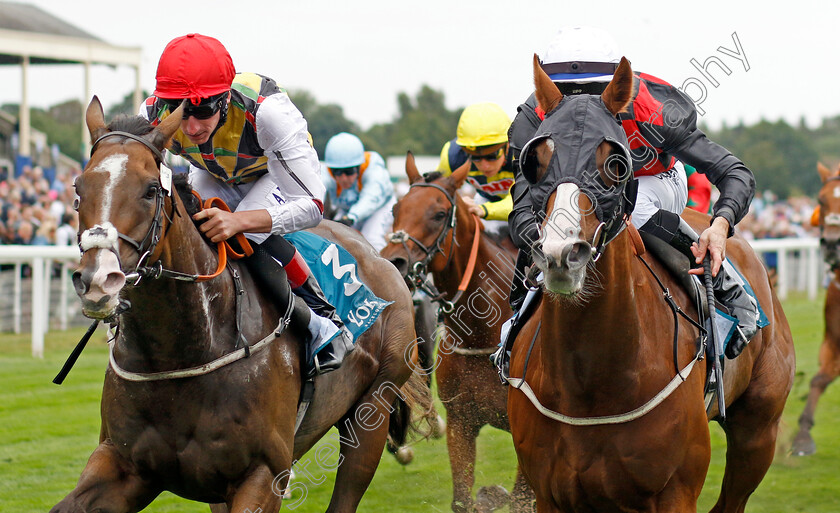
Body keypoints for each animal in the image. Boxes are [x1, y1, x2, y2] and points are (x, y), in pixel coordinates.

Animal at [50, 97, 426, 512]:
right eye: (78, 188)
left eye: (150, 190)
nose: (97, 280)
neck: (179, 352)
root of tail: (379, 255)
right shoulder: (123, 464)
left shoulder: (265, 472)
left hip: (372, 407)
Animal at [378, 156, 532, 512]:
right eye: (395, 208)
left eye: (438, 214)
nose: (394, 261)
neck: (481, 333)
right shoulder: (461, 422)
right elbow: (462, 500)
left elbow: (523, 499)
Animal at [506, 54, 796, 510]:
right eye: (536, 161)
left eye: (615, 162)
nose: (561, 254)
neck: (590, 381)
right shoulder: (551, 493)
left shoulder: (675, 489)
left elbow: (731, 169)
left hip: (758, 432)